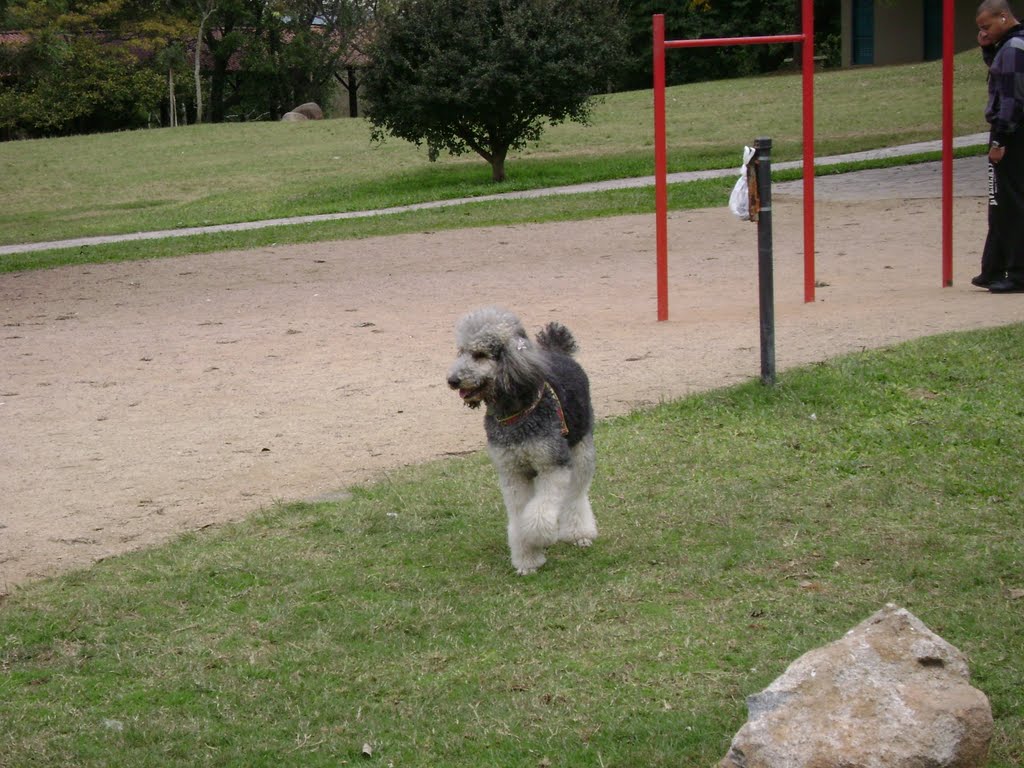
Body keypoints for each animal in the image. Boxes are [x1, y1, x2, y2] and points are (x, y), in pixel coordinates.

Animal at [444, 309, 598, 577]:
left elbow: (538, 515)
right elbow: (519, 518)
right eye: (460, 351)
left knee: (576, 496)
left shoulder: (552, 465)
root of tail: (559, 353)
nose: (452, 380)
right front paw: (527, 557)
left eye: (480, 354)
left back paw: (579, 533)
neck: (515, 413)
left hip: (581, 450)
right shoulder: (513, 472)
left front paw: (539, 537)